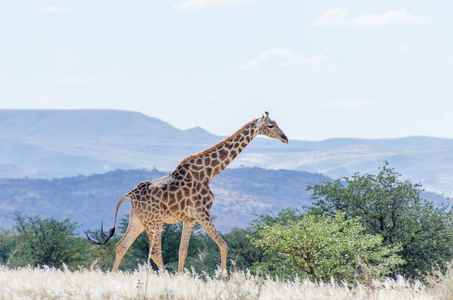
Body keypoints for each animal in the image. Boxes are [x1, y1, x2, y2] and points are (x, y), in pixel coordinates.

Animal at [86, 112, 288, 274]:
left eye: (277, 123)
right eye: (271, 125)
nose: (285, 138)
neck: (208, 173)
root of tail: (130, 194)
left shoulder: (190, 218)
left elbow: (182, 251)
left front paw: (182, 276)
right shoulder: (202, 212)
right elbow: (223, 244)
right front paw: (223, 279)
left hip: (138, 219)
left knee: (122, 245)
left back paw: (113, 277)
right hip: (155, 221)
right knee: (155, 253)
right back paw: (166, 279)